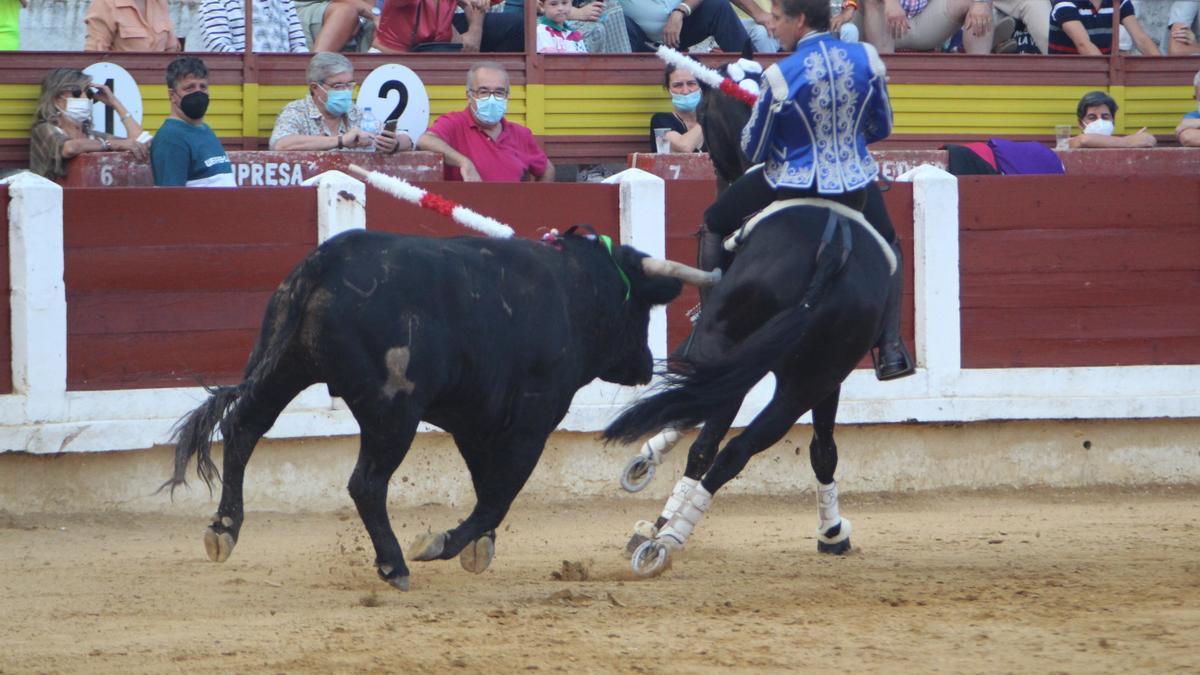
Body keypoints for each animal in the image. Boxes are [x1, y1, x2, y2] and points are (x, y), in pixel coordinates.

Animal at [164, 228, 681, 586]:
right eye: (641, 309)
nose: (645, 364)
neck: (574, 290)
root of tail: (326, 260)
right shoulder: (531, 424)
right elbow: (500, 492)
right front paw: (443, 543)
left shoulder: (477, 422)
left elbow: (487, 485)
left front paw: (478, 547)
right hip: (394, 413)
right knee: (366, 483)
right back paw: (393, 564)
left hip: (283, 367)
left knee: (243, 429)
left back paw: (224, 529)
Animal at [609, 60, 902, 569]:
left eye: (706, 112)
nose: (714, 165)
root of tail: (831, 249)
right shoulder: (823, 380)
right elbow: (822, 448)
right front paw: (832, 531)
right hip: (808, 378)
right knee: (735, 448)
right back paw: (666, 534)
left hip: (746, 349)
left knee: (715, 443)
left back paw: (664, 539)